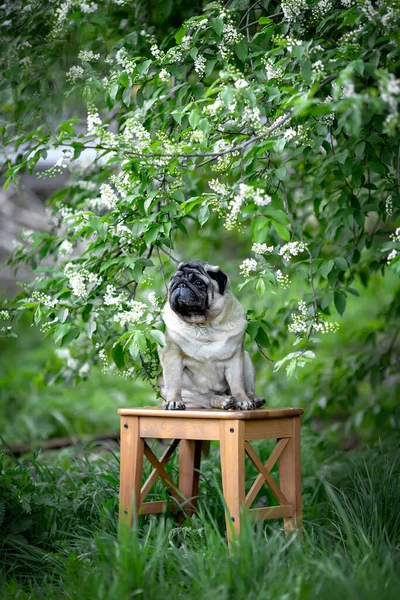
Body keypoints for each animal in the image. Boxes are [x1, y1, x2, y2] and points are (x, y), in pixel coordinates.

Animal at [159, 260, 266, 410]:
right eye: (173, 280)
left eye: (198, 282)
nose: (181, 283)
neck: (204, 325)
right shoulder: (172, 355)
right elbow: (174, 384)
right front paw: (174, 401)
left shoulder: (235, 359)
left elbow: (237, 385)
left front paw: (242, 400)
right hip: (192, 396)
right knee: (208, 400)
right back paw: (224, 401)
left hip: (246, 359)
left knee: (244, 390)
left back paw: (251, 398)